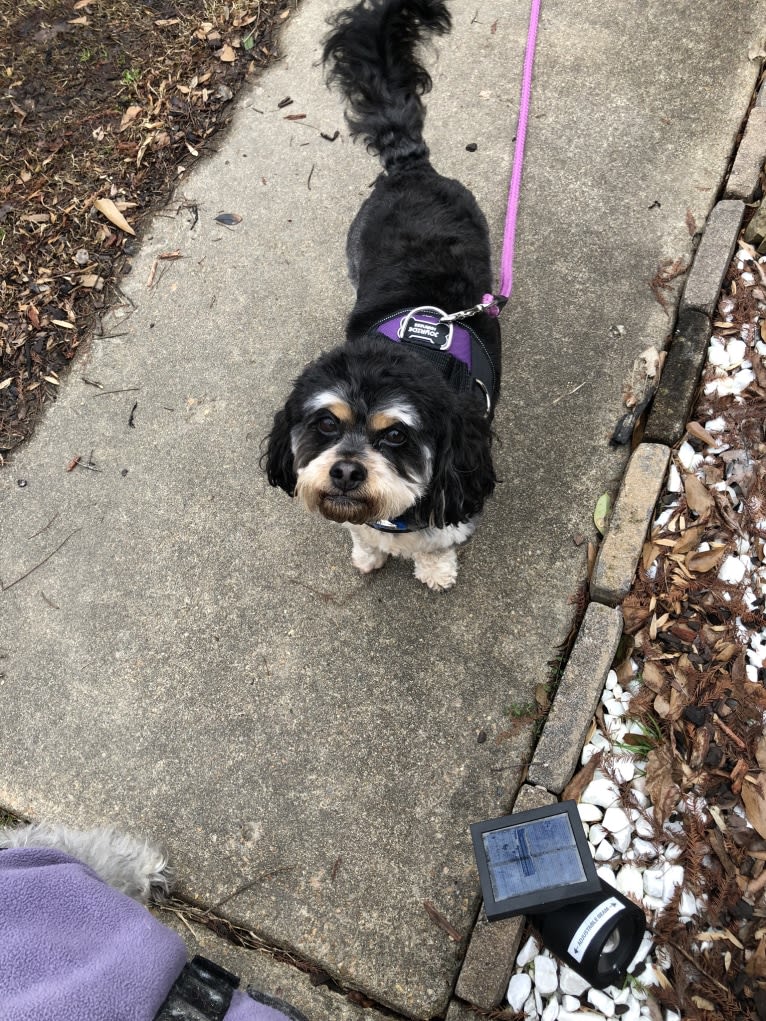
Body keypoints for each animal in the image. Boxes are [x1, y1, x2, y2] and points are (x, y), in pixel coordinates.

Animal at [265, 0, 504, 592]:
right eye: (326, 424)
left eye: (395, 436)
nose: (346, 470)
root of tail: (411, 166)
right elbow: (363, 533)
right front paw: (368, 552)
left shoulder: (457, 483)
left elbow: (436, 539)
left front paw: (435, 569)